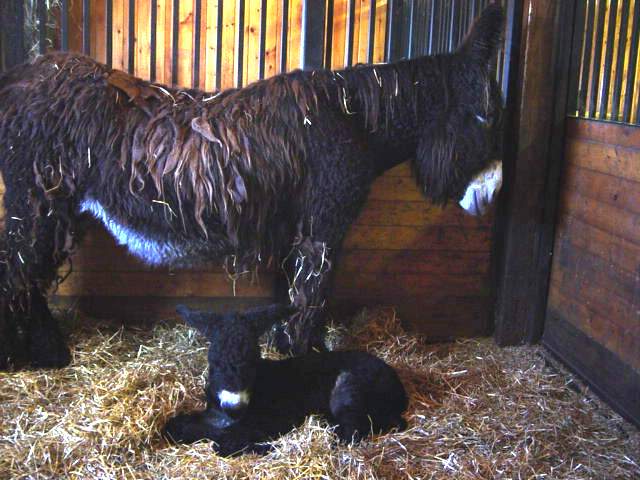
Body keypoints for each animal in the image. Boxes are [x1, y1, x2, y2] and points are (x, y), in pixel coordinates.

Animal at [0, 5, 502, 368]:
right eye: (484, 117)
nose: (493, 195)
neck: (354, 118)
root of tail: (25, 74)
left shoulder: (297, 227)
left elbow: (295, 289)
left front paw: (290, 345)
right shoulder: (324, 224)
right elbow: (315, 289)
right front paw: (302, 353)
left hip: (52, 209)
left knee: (25, 272)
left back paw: (48, 353)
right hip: (37, 200)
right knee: (16, 268)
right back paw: (22, 356)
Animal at [162, 306, 408, 456]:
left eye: (253, 360)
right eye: (214, 362)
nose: (235, 407)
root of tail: (400, 390)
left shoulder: (277, 416)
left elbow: (225, 441)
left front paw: (265, 447)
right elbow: (173, 426)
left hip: (348, 388)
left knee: (353, 433)